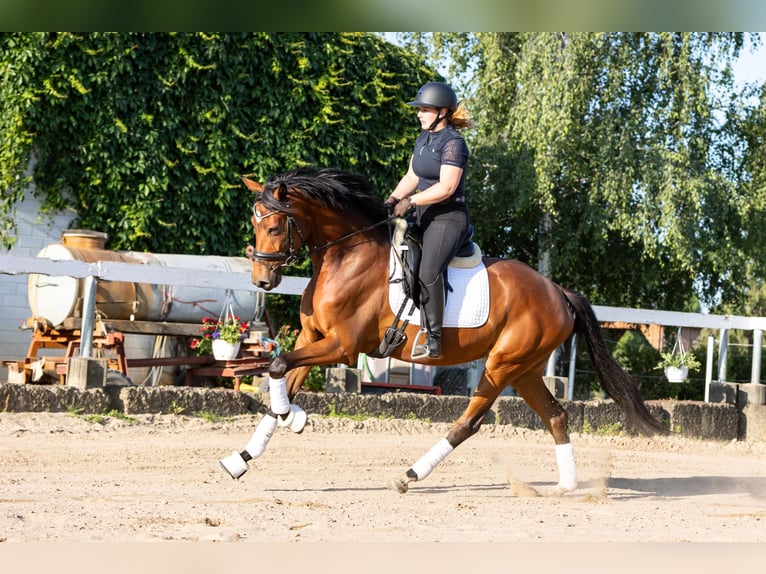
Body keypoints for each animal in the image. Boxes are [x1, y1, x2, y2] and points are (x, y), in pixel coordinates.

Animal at [219, 167, 667, 494]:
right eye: (255, 225)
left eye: (274, 227)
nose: (262, 281)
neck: (345, 257)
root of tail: (557, 290)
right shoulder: (312, 338)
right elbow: (283, 375)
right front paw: (243, 457)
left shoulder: (342, 346)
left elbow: (278, 366)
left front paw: (291, 417)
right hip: (525, 369)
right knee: (556, 415)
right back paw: (567, 485)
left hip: (502, 364)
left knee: (470, 422)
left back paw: (410, 475)